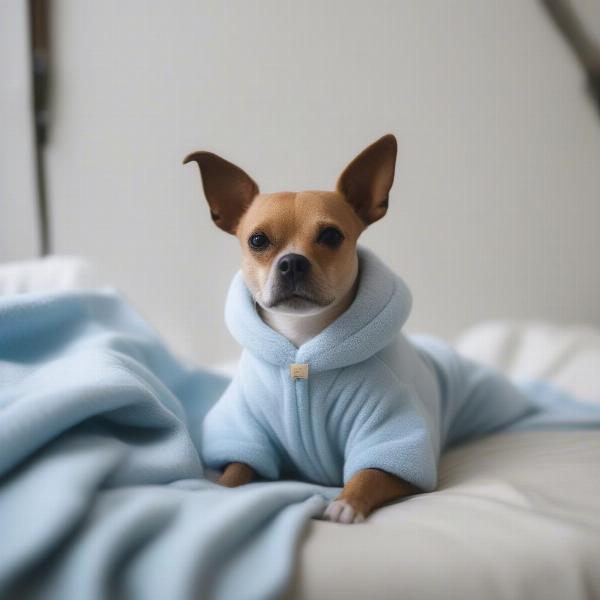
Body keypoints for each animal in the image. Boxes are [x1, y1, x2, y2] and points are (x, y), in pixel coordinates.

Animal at [185, 135, 532, 520]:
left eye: (331, 236)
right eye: (258, 241)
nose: (292, 262)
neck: (302, 348)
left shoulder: (392, 438)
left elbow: (370, 475)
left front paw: (345, 503)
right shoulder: (247, 431)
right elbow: (236, 469)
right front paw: (217, 490)